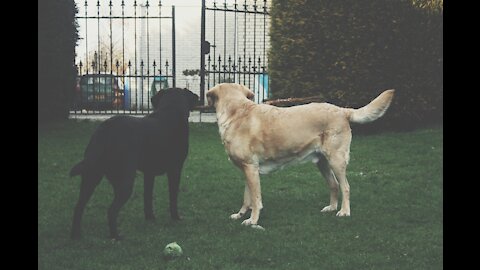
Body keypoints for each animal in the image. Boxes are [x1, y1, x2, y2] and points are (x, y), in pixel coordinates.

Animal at [70, 87, 199, 239]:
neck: (171, 109)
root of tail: (106, 129)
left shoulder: (149, 173)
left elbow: (147, 196)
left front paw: (150, 218)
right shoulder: (175, 170)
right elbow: (173, 196)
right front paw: (176, 217)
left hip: (92, 175)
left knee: (79, 206)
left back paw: (76, 235)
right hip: (124, 179)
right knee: (111, 210)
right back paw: (116, 237)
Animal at [206, 83, 394, 227]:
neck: (236, 112)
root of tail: (342, 110)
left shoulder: (250, 168)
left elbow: (256, 200)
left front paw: (252, 221)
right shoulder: (248, 170)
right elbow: (247, 198)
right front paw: (240, 215)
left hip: (336, 160)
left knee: (345, 187)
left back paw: (344, 211)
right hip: (322, 162)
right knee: (333, 185)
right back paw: (331, 208)